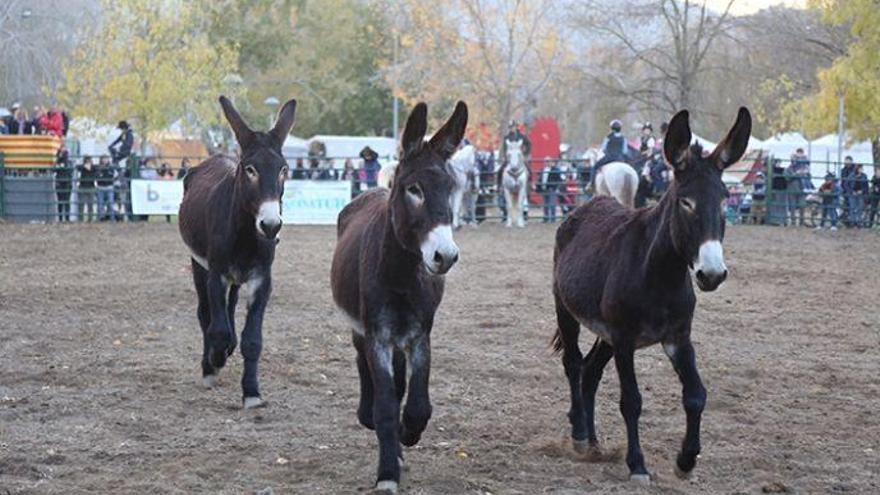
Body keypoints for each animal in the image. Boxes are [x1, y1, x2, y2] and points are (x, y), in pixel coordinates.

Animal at [179, 95, 300, 408]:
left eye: (283, 169)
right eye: (250, 169)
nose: (270, 226)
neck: (246, 236)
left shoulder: (261, 279)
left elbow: (252, 339)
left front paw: (252, 392)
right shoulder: (216, 273)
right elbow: (217, 328)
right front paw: (214, 361)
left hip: (236, 277)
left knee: (230, 306)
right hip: (198, 265)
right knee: (206, 313)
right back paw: (211, 362)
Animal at [330, 101, 468, 495]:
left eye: (451, 188)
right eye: (414, 189)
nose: (445, 256)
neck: (402, 275)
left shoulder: (420, 335)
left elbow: (418, 404)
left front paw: (407, 436)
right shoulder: (377, 335)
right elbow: (387, 406)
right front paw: (387, 471)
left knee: (400, 382)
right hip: (362, 330)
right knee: (366, 369)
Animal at [552, 107, 748, 484]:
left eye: (723, 201)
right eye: (685, 202)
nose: (712, 274)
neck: (661, 276)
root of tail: (590, 204)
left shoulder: (677, 338)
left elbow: (696, 396)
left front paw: (686, 460)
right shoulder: (625, 339)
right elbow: (631, 401)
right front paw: (637, 465)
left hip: (606, 334)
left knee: (590, 371)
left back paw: (594, 441)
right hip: (566, 310)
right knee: (572, 364)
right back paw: (580, 434)